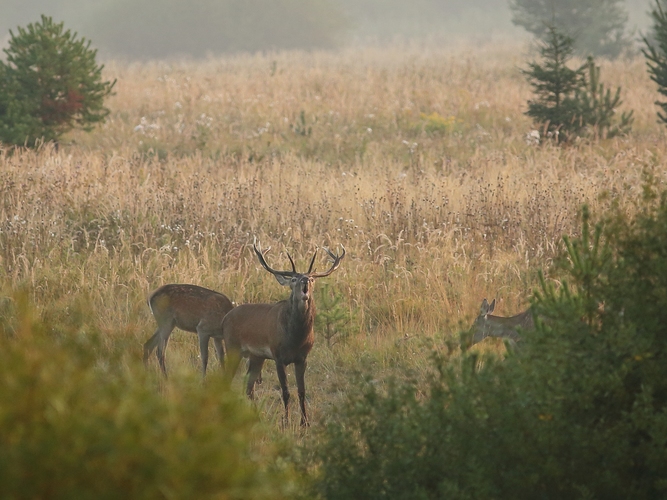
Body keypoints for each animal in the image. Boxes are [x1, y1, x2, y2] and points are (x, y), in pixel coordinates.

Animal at [222, 242, 348, 426]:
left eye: (311, 279)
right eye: (294, 279)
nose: (305, 281)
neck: (295, 339)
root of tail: (224, 318)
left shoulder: (302, 357)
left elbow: (302, 391)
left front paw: (305, 423)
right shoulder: (278, 356)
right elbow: (286, 391)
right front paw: (286, 422)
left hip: (256, 356)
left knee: (249, 386)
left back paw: (256, 416)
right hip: (232, 346)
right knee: (227, 379)